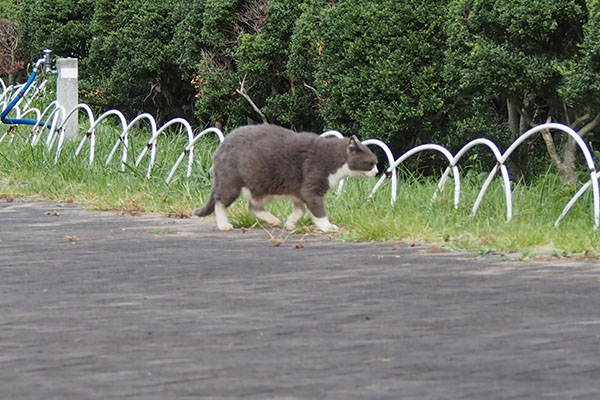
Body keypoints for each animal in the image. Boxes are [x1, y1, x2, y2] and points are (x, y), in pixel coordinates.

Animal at [195, 124, 378, 231]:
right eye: (371, 163)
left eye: (376, 163)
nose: (377, 172)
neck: (333, 159)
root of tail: (221, 146)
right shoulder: (311, 188)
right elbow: (318, 210)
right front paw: (327, 227)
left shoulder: (300, 193)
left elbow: (300, 210)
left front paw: (289, 223)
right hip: (231, 182)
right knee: (220, 202)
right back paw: (224, 225)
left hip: (261, 187)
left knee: (253, 206)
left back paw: (274, 221)